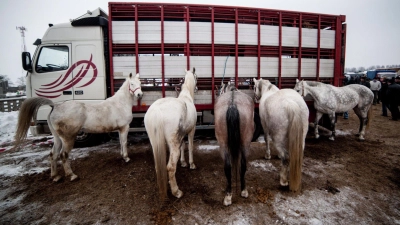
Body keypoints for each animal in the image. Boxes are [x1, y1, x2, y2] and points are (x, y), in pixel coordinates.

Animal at [15, 73, 144, 182]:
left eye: (140, 83)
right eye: (132, 84)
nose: (140, 95)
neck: (120, 104)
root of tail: (55, 106)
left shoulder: (119, 129)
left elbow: (121, 143)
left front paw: (123, 156)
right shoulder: (124, 127)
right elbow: (124, 142)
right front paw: (126, 158)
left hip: (57, 138)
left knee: (53, 154)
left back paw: (56, 177)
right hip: (68, 138)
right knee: (63, 155)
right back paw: (72, 176)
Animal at [145, 67, 198, 200]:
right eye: (197, 77)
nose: (197, 88)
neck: (186, 96)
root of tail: (157, 111)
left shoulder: (181, 135)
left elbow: (183, 145)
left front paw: (183, 163)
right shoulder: (191, 130)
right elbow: (190, 146)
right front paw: (191, 164)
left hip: (155, 142)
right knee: (170, 167)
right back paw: (177, 192)